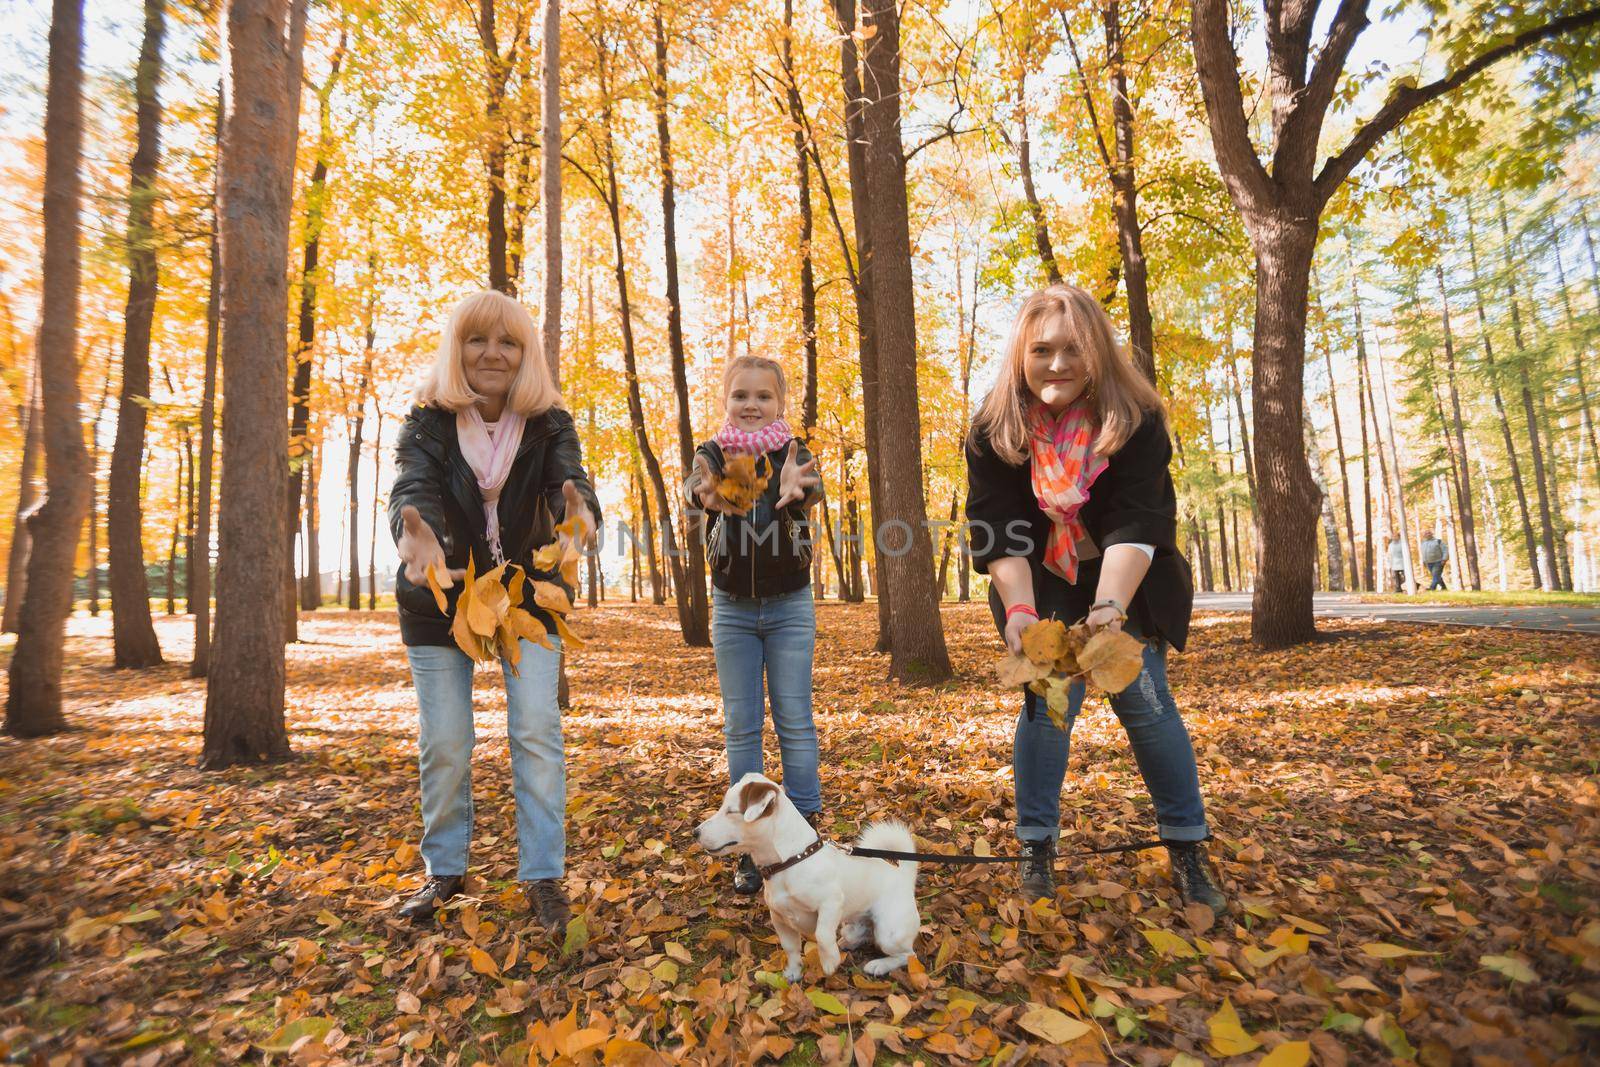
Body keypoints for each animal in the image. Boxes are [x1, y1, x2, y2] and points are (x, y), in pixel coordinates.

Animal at [694, 771, 921, 979]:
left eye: (731, 811)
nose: (695, 832)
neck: (790, 862)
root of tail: (903, 875)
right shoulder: (780, 920)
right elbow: (791, 949)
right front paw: (794, 972)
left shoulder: (831, 903)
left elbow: (821, 934)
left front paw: (830, 960)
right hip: (853, 924)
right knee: (860, 934)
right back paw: (847, 942)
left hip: (889, 933)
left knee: (909, 955)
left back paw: (879, 965)